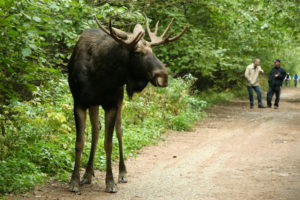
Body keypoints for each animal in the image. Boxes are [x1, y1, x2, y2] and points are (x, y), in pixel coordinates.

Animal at [67, 14, 186, 193]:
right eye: (137, 52)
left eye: (153, 51)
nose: (163, 77)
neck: (99, 75)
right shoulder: (79, 102)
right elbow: (79, 142)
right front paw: (74, 181)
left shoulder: (112, 104)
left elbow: (109, 143)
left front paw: (110, 182)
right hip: (94, 104)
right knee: (96, 130)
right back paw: (87, 174)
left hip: (119, 100)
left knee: (119, 130)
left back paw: (121, 172)